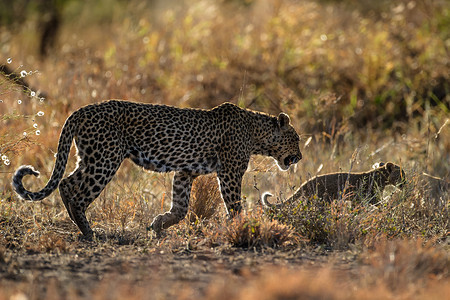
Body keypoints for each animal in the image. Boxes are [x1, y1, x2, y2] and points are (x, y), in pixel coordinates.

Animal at [12, 101, 300, 237]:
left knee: (67, 182)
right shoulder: (229, 172)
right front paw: (244, 228)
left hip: (90, 157)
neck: (257, 133)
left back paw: (78, 223)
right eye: (296, 139)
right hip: (105, 159)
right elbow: (235, 205)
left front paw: (159, 223)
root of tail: (81, 110)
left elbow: (181, 208)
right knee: (76, 191)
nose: (299, 156)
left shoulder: (185, 172)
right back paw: (88, 230)